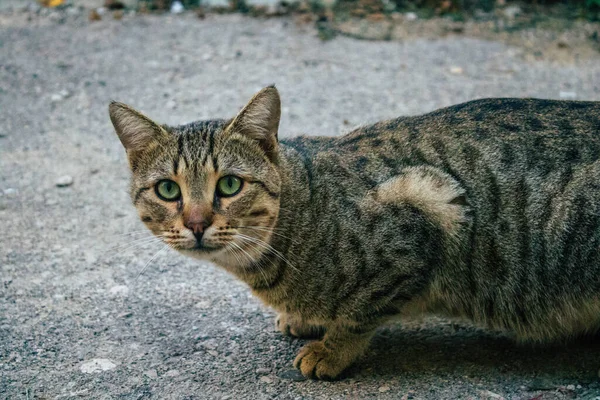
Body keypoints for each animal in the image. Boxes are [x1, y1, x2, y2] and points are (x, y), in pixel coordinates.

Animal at [110, 86, 600, 380]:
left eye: (229, 185)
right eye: (168, 189)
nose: (196, 224)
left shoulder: (431, 211)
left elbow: (360, 312)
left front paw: (331, 350)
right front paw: (306, 318)